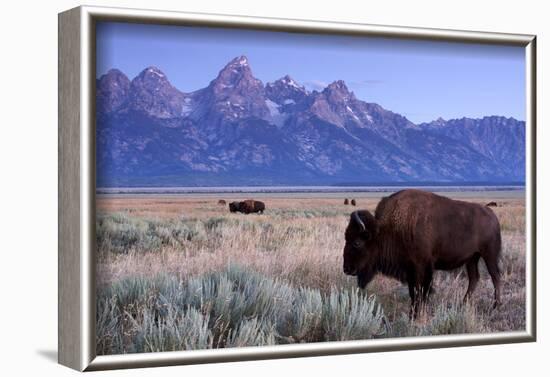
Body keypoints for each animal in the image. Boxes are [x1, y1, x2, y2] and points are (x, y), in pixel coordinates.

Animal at [344, 189, 504, 316]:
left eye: (357, 242)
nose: (347, 268)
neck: (386, 229)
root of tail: (493, 216)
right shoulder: (410, 269)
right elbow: (413, 292)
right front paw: (412, 315)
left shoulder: (423, 266)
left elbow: (421, 292)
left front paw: (417, 315)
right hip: (472, 258)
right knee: (474, 278)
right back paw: (463, 305)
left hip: (489, 255)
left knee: (495, 276)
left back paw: (495, 306)